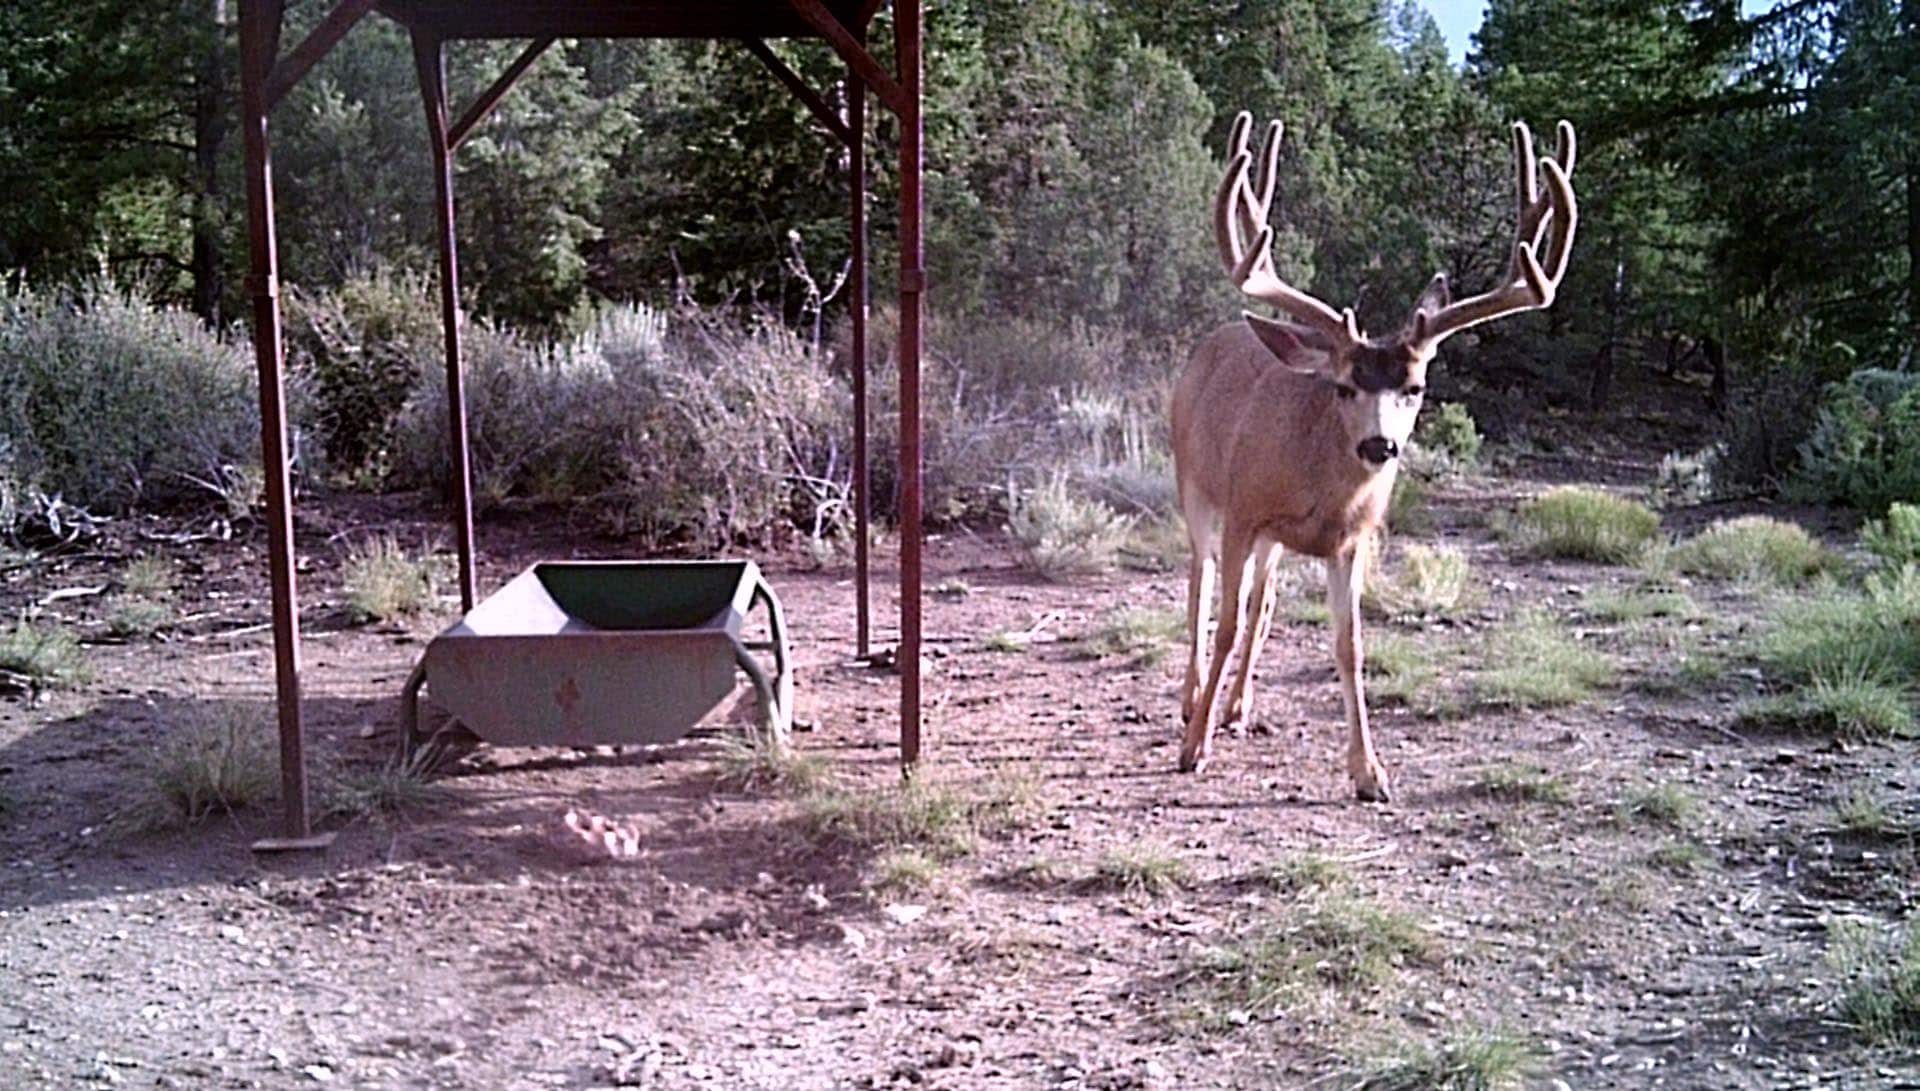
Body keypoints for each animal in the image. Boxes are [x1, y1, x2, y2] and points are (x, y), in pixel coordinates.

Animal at [1173, 112, 1578, 801]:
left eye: (1415, 387)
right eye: (1344, 386)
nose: (1379, 444)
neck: (1320, 492)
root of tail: (1220, 337)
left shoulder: (1350, 540)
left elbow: (1349, 644)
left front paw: (1370, 773)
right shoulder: (1244, 513)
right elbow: (1222, 623)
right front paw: (1193, 749)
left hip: (1268, 540)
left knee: (1263, 599)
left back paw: (1237, 706)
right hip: (1194, 484)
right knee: (1201, 584)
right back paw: (1193, 701)